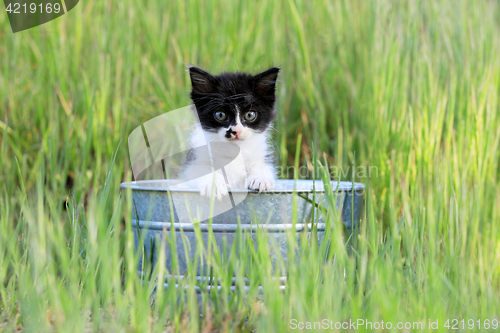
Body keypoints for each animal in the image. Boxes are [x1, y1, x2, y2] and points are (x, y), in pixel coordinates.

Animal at [183, 66, 282, 198]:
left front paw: (260, 179)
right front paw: (214, 184)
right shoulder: (194, 158)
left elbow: (262, 165)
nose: (236, 131)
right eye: (220, 115)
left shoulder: (262, 153)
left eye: (250, 115)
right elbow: (200, 169)